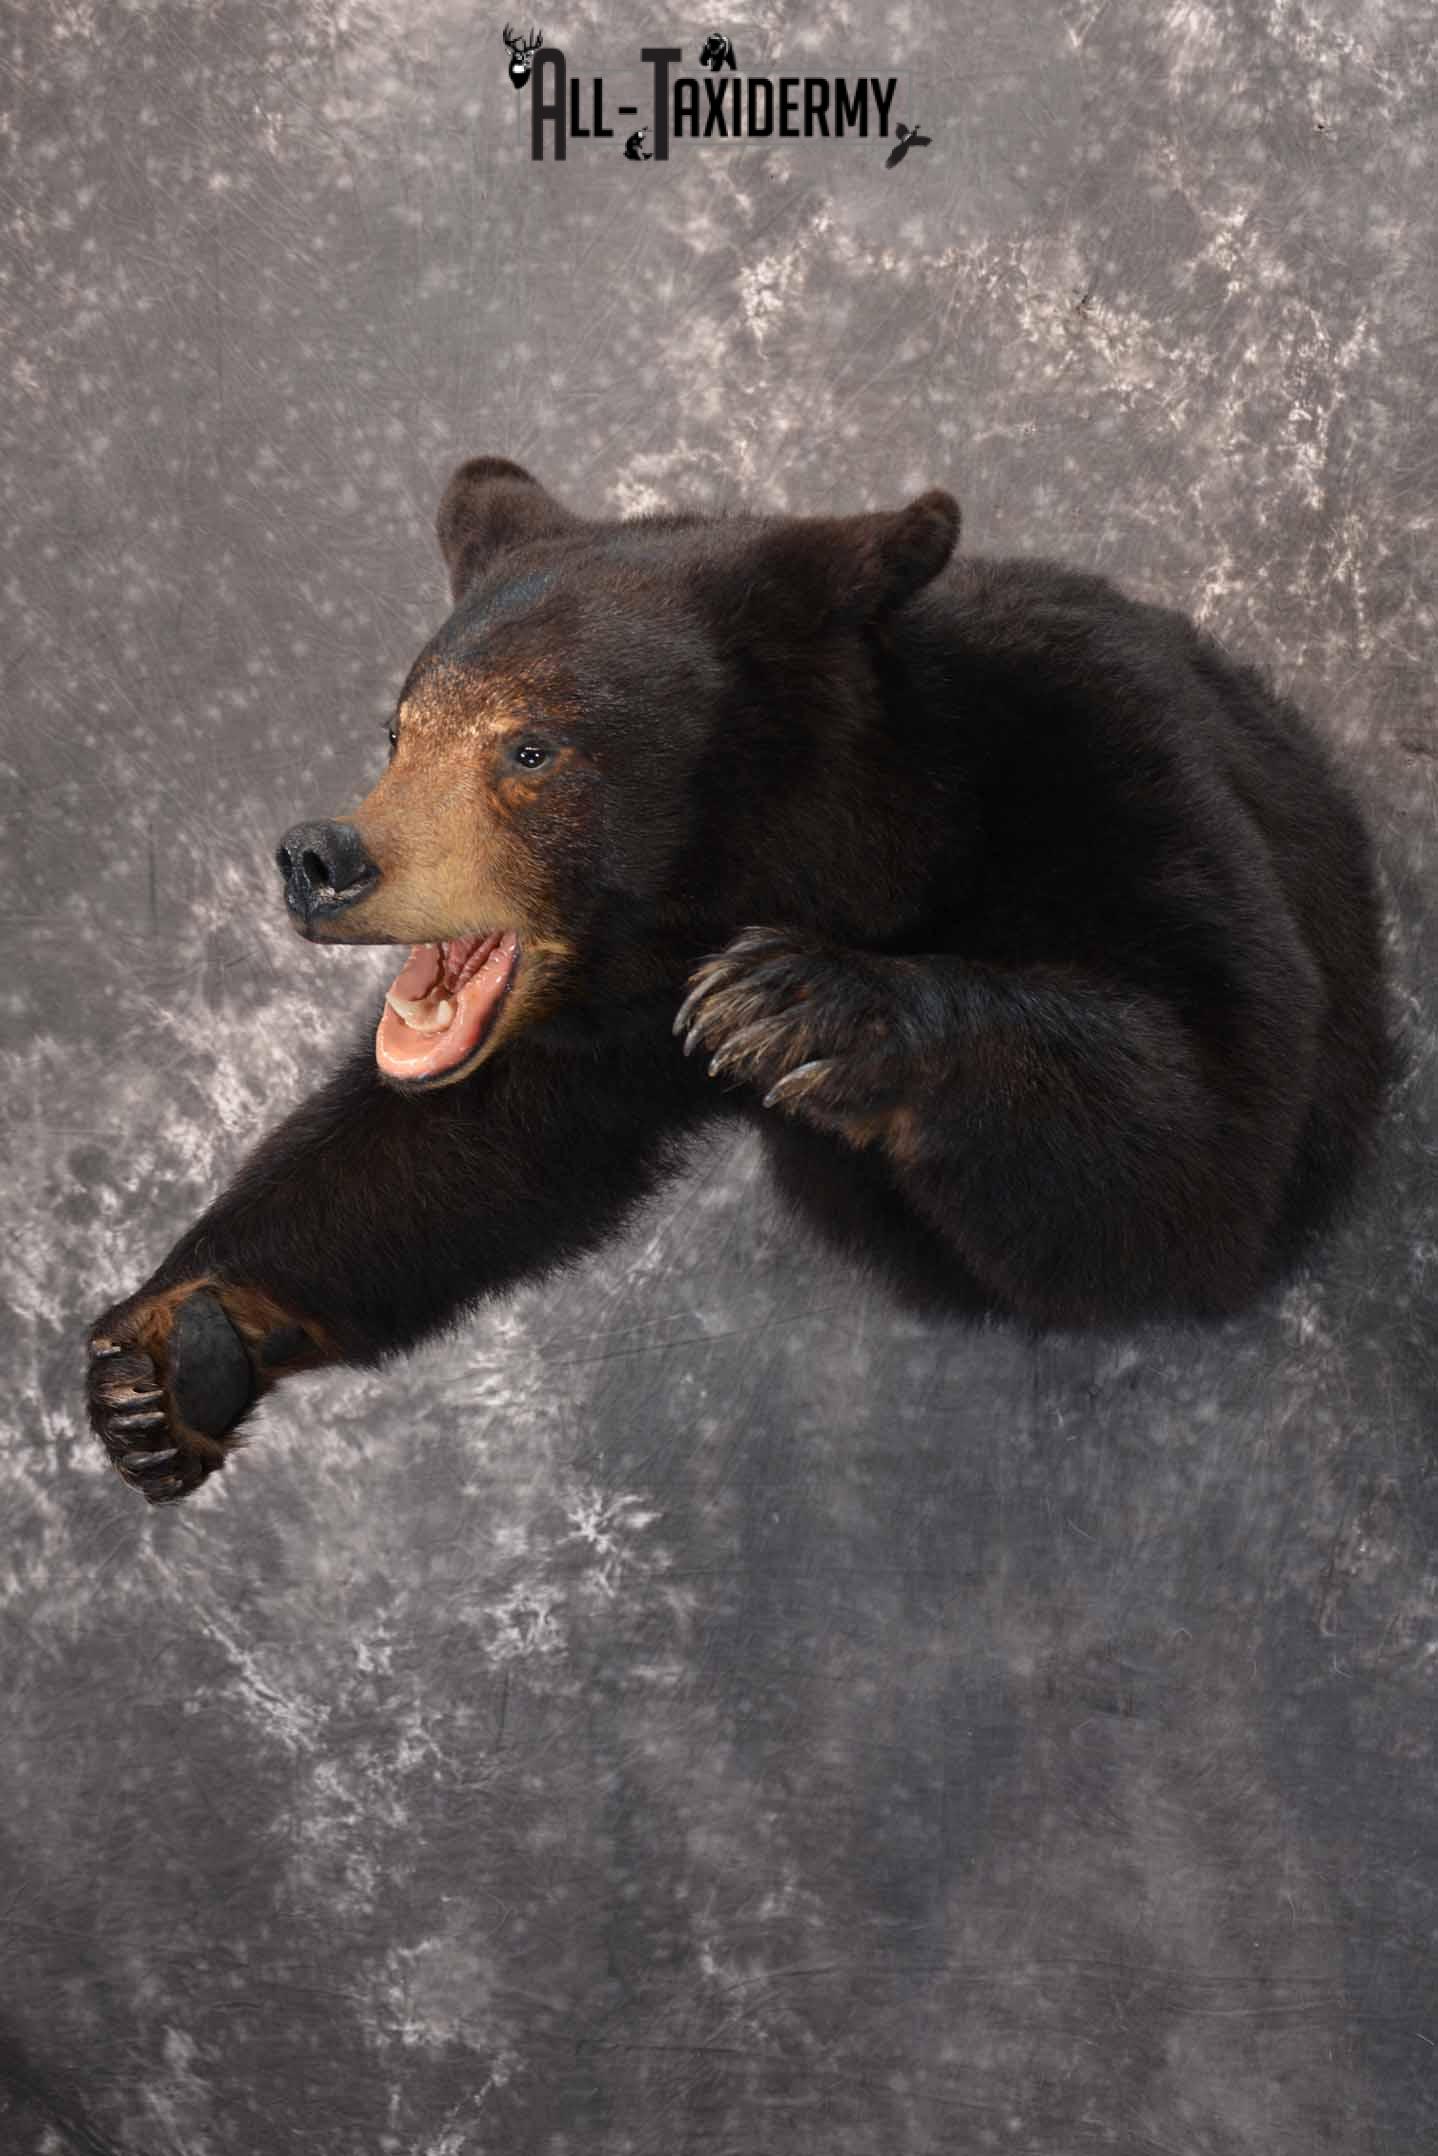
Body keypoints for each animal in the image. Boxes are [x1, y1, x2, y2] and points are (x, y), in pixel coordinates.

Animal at [85, 456, 1397, 1505]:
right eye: (399, 732)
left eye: (530, 745)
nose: (321, 857)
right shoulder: (596, 1028)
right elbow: (442, 1149)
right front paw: (170, 1351)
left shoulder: (1118, 777)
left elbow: (1207, 1130)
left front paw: (803, 1006)